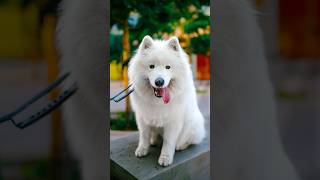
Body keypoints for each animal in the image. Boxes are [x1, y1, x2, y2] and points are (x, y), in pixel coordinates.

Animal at [129, 35, 206, 167]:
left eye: (168, 67)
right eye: (151, 66)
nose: (159, 82)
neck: (158, 102)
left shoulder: (173, 122)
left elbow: (168, 142)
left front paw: (165, 158)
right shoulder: (142, 118)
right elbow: (144, 136)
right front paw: (142, 150)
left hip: (193, 124)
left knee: (190, 140)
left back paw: (180, 145)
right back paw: (154, 140)